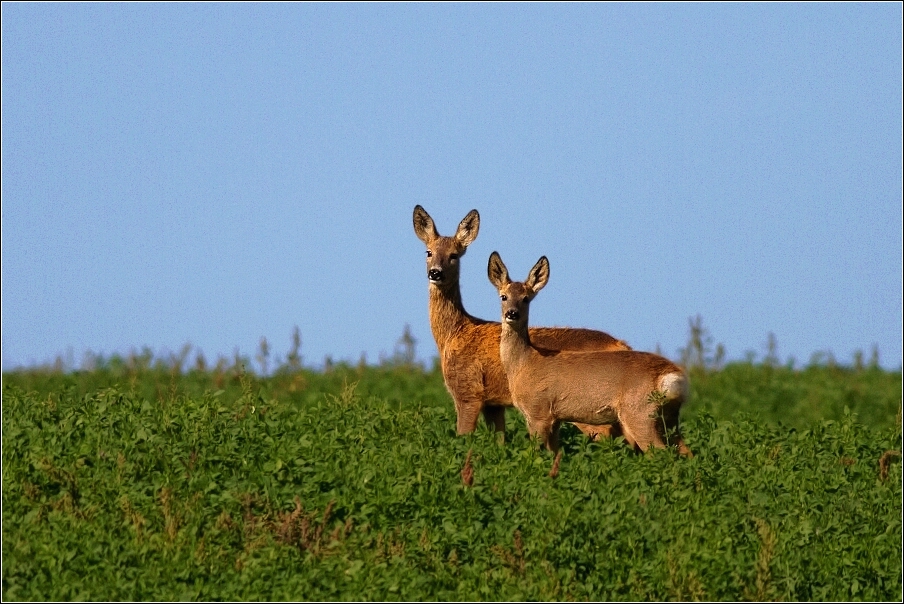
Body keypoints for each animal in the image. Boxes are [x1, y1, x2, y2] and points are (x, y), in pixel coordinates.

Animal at [414, 205, 632, 436]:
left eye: (454, 255)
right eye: (428, 252)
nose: (435, 272)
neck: (455, 333)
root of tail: (622, 345)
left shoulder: (468, 391)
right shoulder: (493, 404)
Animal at [488, 251, 692, 458]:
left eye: (526, 298)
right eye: (503, 296)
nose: (512, 314)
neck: (524, 363)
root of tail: (674, 375)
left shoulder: (538, 410)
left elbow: (535, 453)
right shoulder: (556, 418)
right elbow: (555, 454)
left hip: (640, 412)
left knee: (659, 452)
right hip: (669, 417)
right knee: (686, 451)